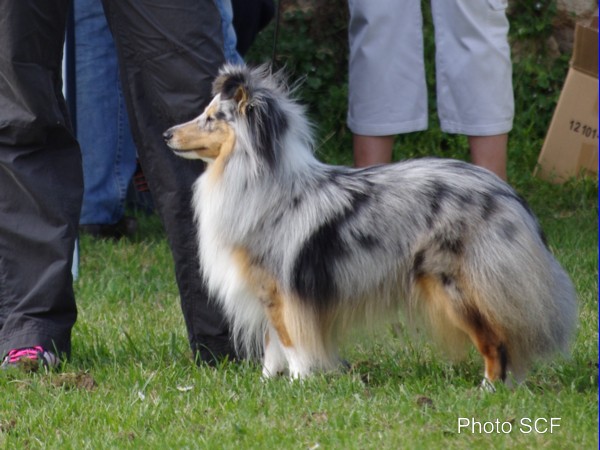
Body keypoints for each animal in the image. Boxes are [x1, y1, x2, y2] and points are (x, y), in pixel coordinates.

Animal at [164, 64, 577, 388]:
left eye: (212, 118)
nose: (167, 134)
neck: (258, 178)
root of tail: (508, 195)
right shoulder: (267, 290)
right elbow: (272, 345)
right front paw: (268, 384)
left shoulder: (282, 290)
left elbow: (292, 342)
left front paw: (299, 383)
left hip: (459, 288)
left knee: (495, 342)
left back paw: (487, 389)